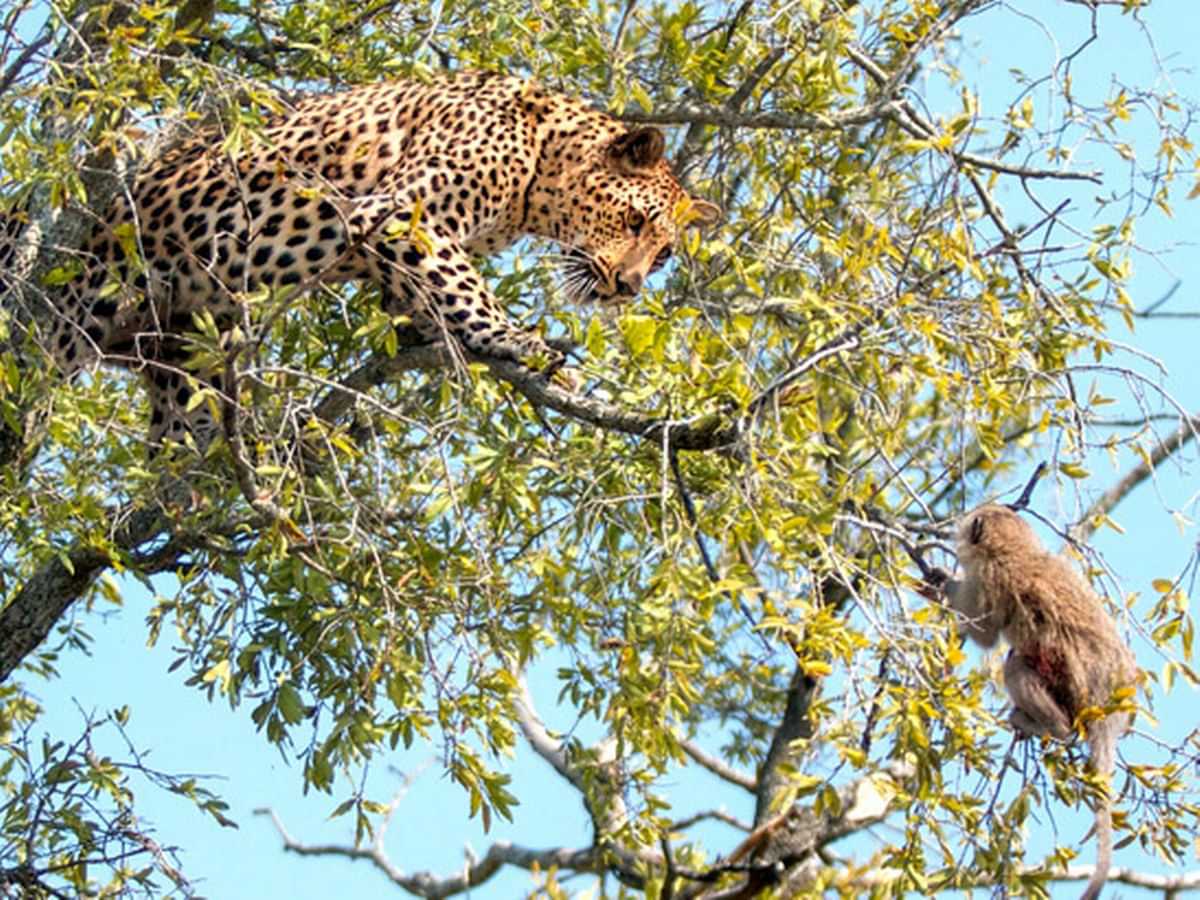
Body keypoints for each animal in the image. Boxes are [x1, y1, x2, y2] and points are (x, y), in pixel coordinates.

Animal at [7, 70, 720, 448]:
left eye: (663, 256)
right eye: (634, 221)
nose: (628, 286)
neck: (539, 165)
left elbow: (429, 294)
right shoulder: (403, 212)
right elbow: (467, 288)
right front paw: (518, 340)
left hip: (177, 353)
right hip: (61, 316)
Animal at [922, 504, 1138, 900]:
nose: (958, 529)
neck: (1014, 550)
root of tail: (1106, 711)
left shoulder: (989, 578)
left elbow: (984, 632)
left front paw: (942, 586)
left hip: (1071, 696)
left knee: (1016, 663)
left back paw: (1052, 727)